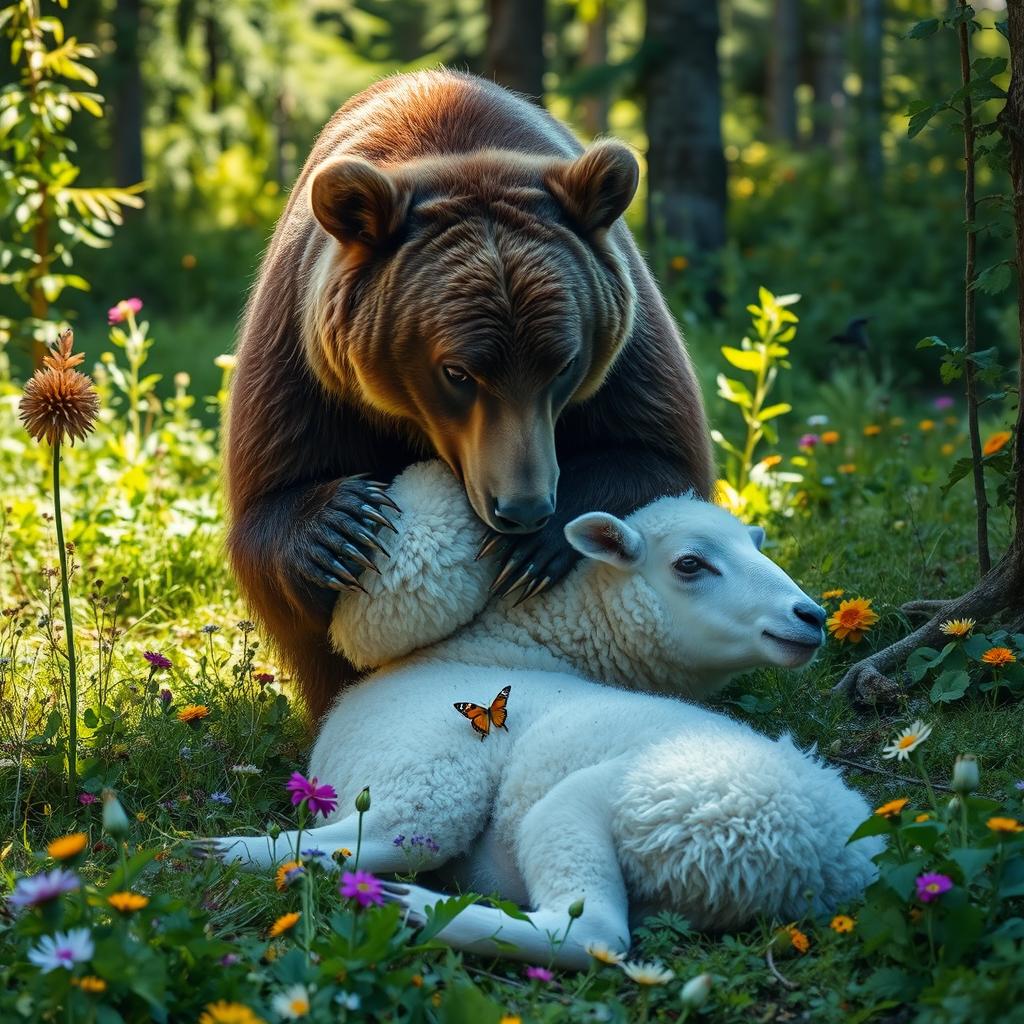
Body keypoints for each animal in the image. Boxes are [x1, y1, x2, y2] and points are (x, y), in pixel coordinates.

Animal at [200, 461, 880, 968]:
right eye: (690, 563)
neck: (496, 648)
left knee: (590, 931)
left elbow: (387, 834)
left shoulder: (425, 769)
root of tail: (809, 863)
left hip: (624, 803)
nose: (811, 617)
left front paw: (228, 850)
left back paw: (402, 905)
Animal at [226, 69, 714, 723]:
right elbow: (271, 502)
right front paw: (341, 528)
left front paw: (531, 549)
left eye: (563, 364)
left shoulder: (627, 353)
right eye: (457, 372)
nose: (522, 507)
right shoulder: (305, 365)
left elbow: (659, 457)